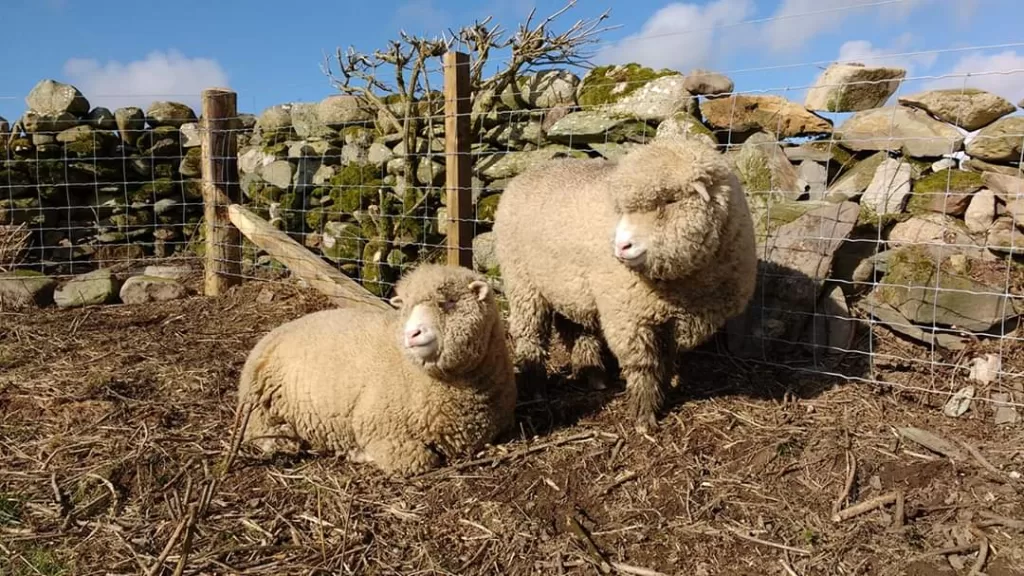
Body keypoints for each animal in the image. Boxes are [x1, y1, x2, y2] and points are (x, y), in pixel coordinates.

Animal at [235, 262, 516, 473]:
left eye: (448, 302)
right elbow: (421, 460)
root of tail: (272, 334)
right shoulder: (379, 427)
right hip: (258, 406)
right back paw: (283, 441)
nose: (411, 334)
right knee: (258, 432)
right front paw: (359, 454)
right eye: (406, 309)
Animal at [491, 135, 765, 430]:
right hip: (522, 282)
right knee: (529, 334)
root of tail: (524, 175)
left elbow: (665, 361)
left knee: (574, 327)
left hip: (567, 284)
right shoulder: (630, 318)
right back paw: (537, 388)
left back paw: (594, 376)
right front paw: (644, 417)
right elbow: (643, 366)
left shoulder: (672, 321)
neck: (684, 283)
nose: (621, 246)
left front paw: (662, 394)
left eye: (669, 201)